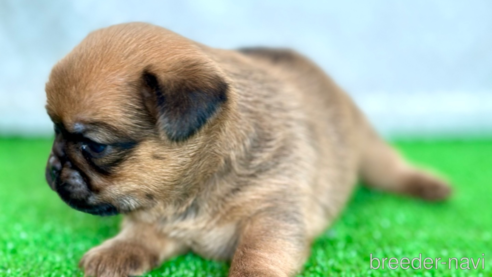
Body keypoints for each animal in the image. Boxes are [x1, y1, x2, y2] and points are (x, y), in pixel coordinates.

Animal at [44, 22, 452, 274]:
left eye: (93, 146)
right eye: (54, 130)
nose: (53, 164)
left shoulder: (272, 215)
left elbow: (257, 254)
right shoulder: (156, 219)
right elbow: (138, 235)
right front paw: (115, 252)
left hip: (366, 147)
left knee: (391, 169)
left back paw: (430, 187)